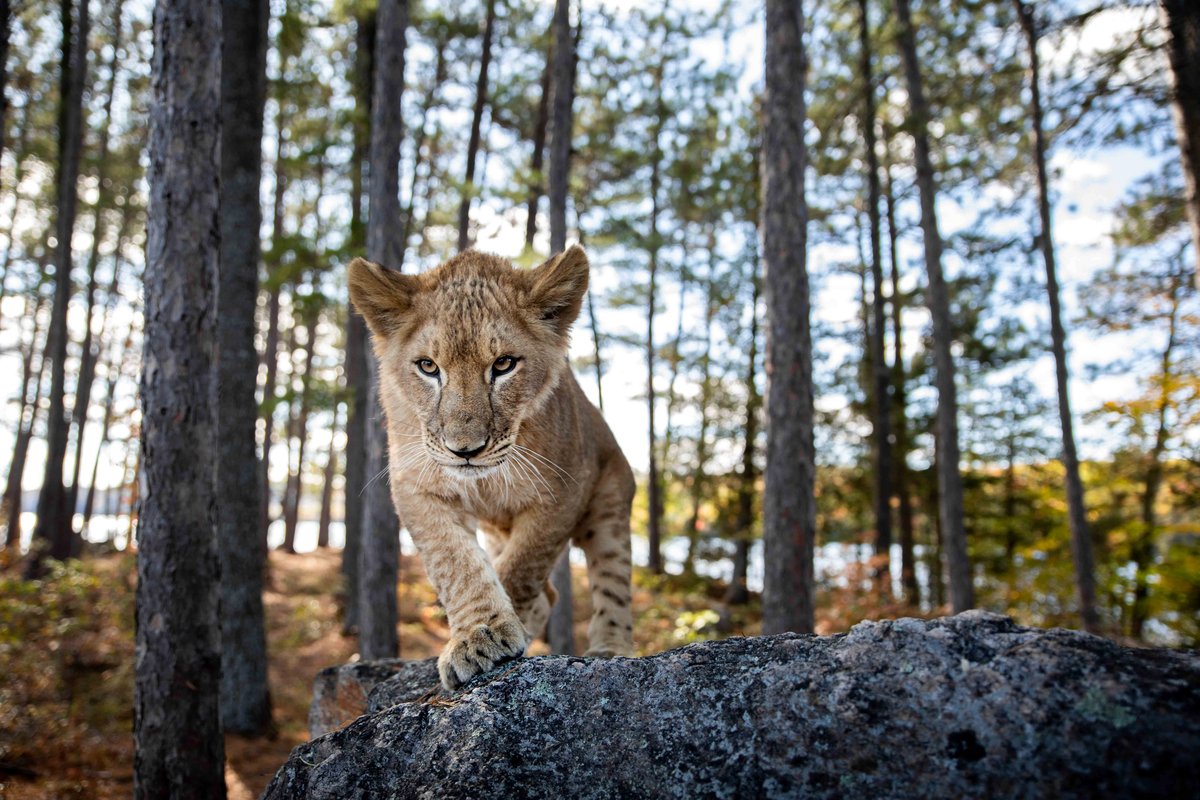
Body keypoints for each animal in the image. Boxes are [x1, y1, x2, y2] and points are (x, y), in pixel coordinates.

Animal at [348, 245, 636, 689]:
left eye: (503, 365)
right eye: (428, 367)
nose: (465, 450)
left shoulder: (563, 491)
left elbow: (520, 569)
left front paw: (495, 632)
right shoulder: (416, 488)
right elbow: (456, 564)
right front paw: (479, 635)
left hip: (609, 501)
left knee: (612, 581)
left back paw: (610, 648)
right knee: (549, 594)